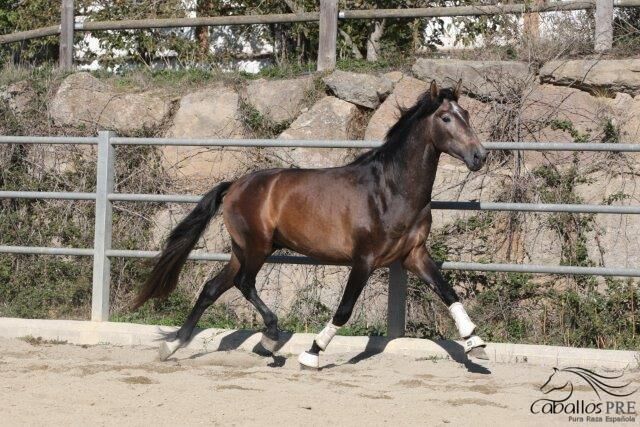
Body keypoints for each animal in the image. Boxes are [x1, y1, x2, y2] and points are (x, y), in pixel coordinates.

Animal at [132, 81, 488, 372]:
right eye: (446, 118)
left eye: (468, 113)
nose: (480, 156)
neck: (391, 189)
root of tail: (235, 185)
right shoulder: (365, 260)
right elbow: (344, 310)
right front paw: (312, 353)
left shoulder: (414, 255)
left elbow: (449, 293)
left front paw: (476, 345)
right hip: (258, 247)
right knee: (244, 283)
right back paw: (270, 338)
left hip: (242, 250)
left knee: (212, 288)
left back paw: (173, 345)